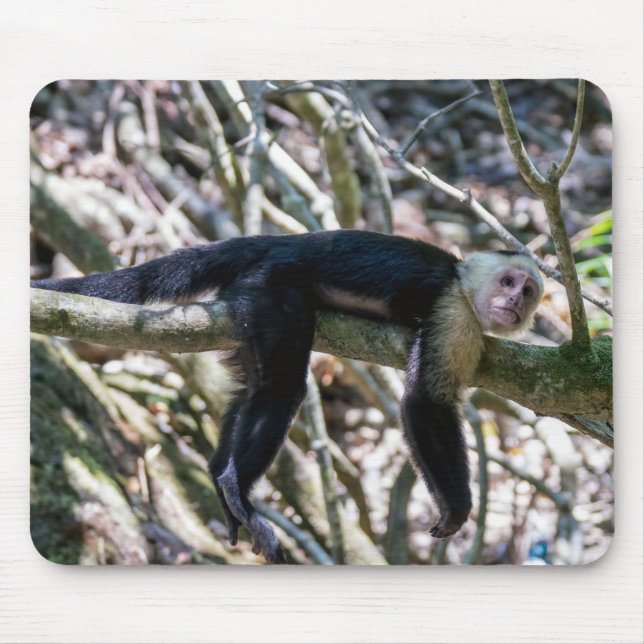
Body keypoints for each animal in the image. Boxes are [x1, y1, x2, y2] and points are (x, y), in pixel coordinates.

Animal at [31, 230, 543, 563]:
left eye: (529, 291)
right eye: (508, 282)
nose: (516, 304)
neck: (461, 280)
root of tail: (279, 240)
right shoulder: (453, 310)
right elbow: (425, 402)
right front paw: (456, 506)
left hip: (246, 300)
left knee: (252, 389)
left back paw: (220, 481)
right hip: (271, 286)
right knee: (281, 388)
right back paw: (238, 488)